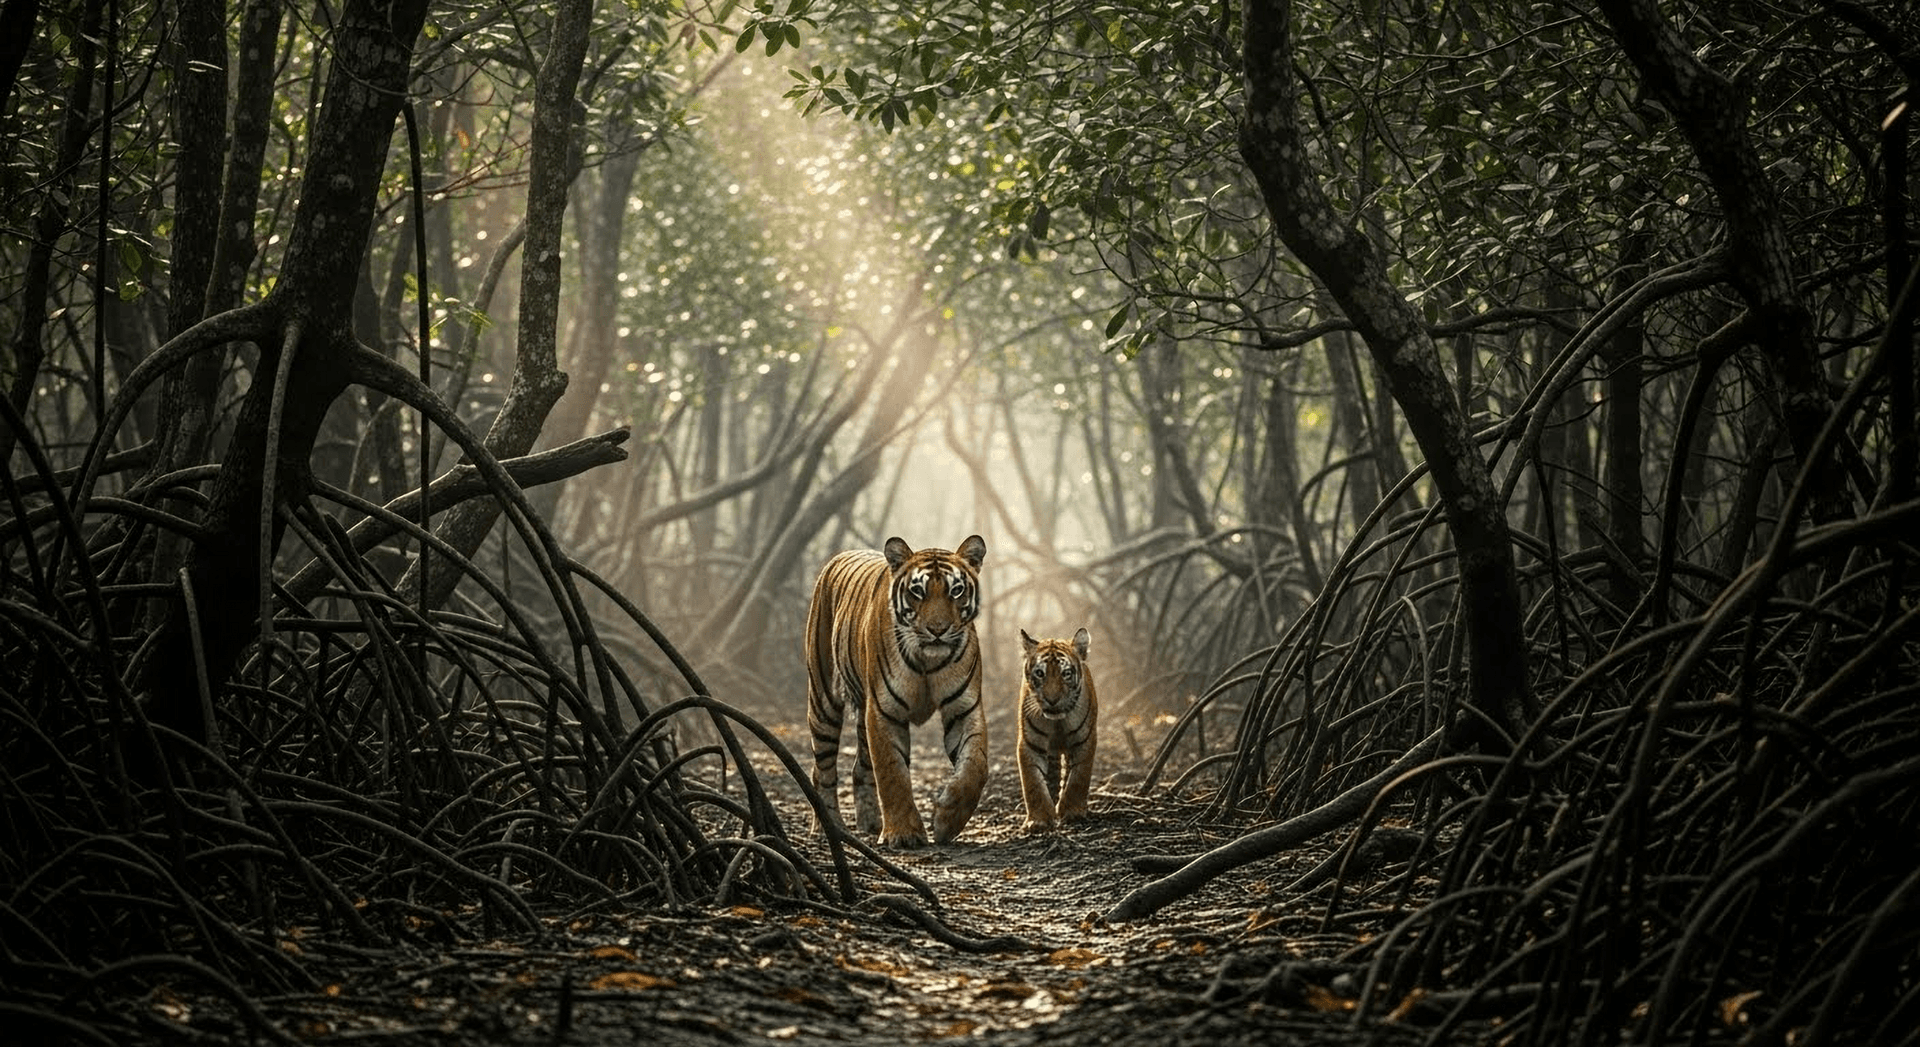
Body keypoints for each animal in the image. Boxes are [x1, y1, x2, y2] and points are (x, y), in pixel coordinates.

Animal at [804, 535, 989, 848]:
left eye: (956, 591)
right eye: (917, 591)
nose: (937, 630)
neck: (928, 660)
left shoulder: (964, 707)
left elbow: (976, 766)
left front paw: (947, 820)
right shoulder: (884, 711)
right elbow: (892, 772)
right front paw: (903, 834)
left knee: (859, 768)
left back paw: (870, 823)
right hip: (823, 700)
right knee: (822, 770)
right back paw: (830, 828)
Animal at [1016, 627, 1097, 832]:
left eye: (1066, 673)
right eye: (1039, 673)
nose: (1052, 700)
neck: (1057, 722)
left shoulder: (1084, 741)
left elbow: (1078, 778)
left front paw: (1073, 813)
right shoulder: (1030, 744)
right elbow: (1033, 783)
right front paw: (1038, 820)